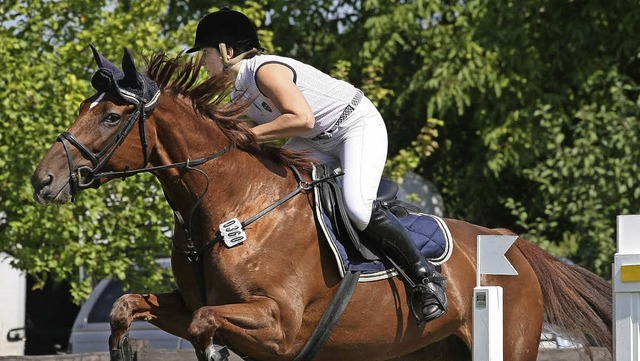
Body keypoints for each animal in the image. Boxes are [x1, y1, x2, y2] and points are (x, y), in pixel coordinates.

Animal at [31, 45, 616, 360]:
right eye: (85, 107)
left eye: (111, 116)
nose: (43, 181)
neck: (230, 209)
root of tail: (510, 245)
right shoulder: (190, 302)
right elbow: (127, 307)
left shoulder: (278, 324)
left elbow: (204, 326)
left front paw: (214, 351)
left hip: (508, 339)